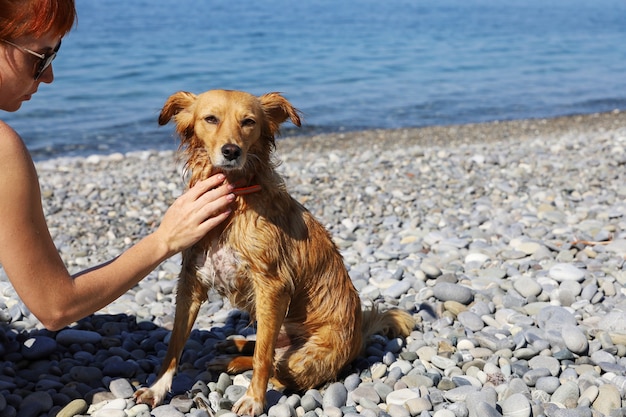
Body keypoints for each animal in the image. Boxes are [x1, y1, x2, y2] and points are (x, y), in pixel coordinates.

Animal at [134, 89, 412, 414]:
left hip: (305, 356)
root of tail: (359, 338)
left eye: (249, 122)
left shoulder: (272, 286)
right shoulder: (192, 279)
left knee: (277, 364)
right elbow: (175, 342)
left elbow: (262, 358)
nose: (231, 151)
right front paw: (157, 388)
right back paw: (232, 346)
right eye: (211, 119)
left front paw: (254, 399)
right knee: (264, 344)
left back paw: (232, 361)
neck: (234, 199)